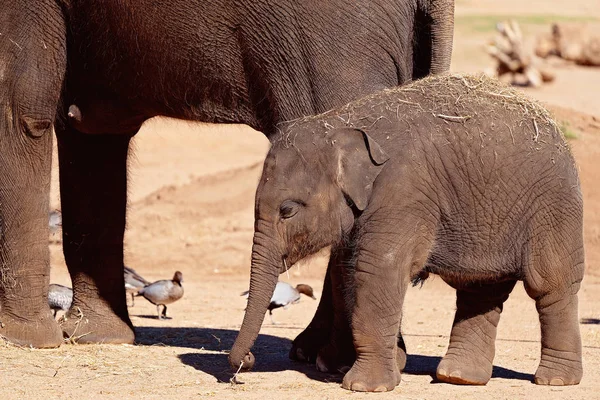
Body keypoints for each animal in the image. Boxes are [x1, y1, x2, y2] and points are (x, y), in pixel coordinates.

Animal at [0, 0, 450, 348]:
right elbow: (89, 133)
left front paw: (25, 340)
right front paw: (94, 337)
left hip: (333, 41)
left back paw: (331, 358)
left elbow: (21, 108)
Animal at [229, 73, 580, 392]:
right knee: (480, 289)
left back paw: (554, 380)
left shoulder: (403, 191)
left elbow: (378, 269)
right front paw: (348, 365)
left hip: (553, 206)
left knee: (550, 285)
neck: (341, 122)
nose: (246, 362)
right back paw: (459, 378)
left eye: (288, 210)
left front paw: (363, 386)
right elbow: (348, 272)